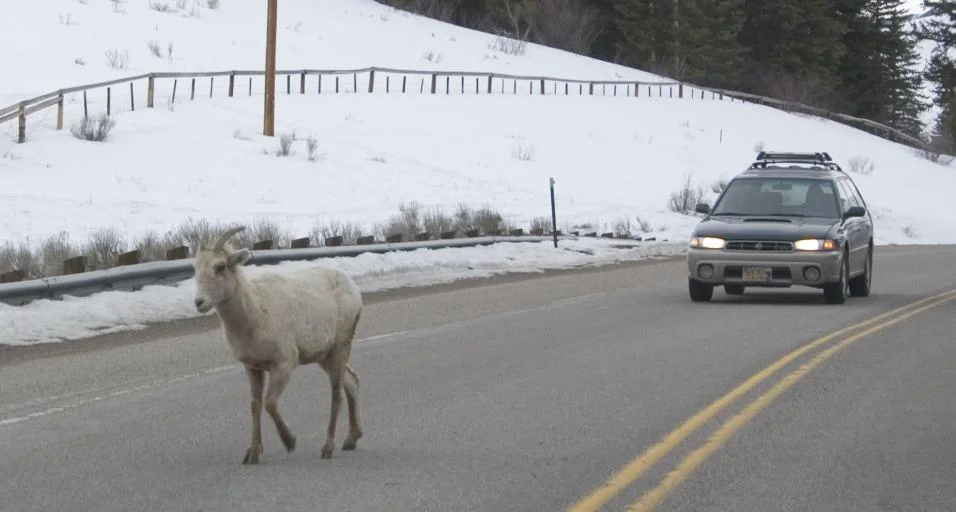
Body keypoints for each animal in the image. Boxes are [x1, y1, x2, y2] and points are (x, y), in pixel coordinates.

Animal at [192, 227, 364, 464]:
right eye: (195, 268)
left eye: (220, 267)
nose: (199, 302)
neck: (255, 314)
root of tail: (353, 289)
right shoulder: (252, 367)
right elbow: (255, 404)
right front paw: (253, 454)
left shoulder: (284, 363)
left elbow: (270, 402)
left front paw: (290, 441)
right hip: (325, 356)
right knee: (351, 382)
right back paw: (350, 441)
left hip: (340, 348)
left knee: (336, 394)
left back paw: (328, 448)